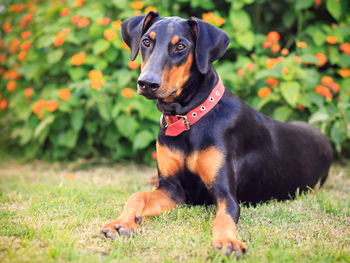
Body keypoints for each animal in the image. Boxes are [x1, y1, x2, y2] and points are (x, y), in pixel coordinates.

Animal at [100, 11, 332, 258]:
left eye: (180, 46)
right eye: (146, 41)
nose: (146, 83)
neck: (188, 118)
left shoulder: (224, 193)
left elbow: (224, 216)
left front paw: (228, 242)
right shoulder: (172, 190)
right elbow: (137, 195)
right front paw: (120, 223)